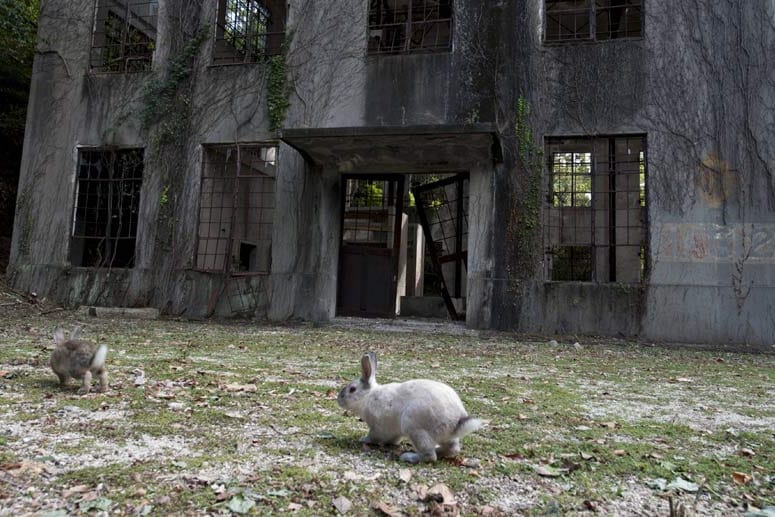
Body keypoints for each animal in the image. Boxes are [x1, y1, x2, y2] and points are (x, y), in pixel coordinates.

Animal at [338, 350, 482, 464]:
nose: (339, 399)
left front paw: (363, 439)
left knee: (430, 456)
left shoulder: (377, 428)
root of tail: (456, 422)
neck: (367, 396)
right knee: (452, 449)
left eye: (352, 389)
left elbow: (373, 437)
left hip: (414, 428)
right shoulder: (393, 432)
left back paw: (408, 457)